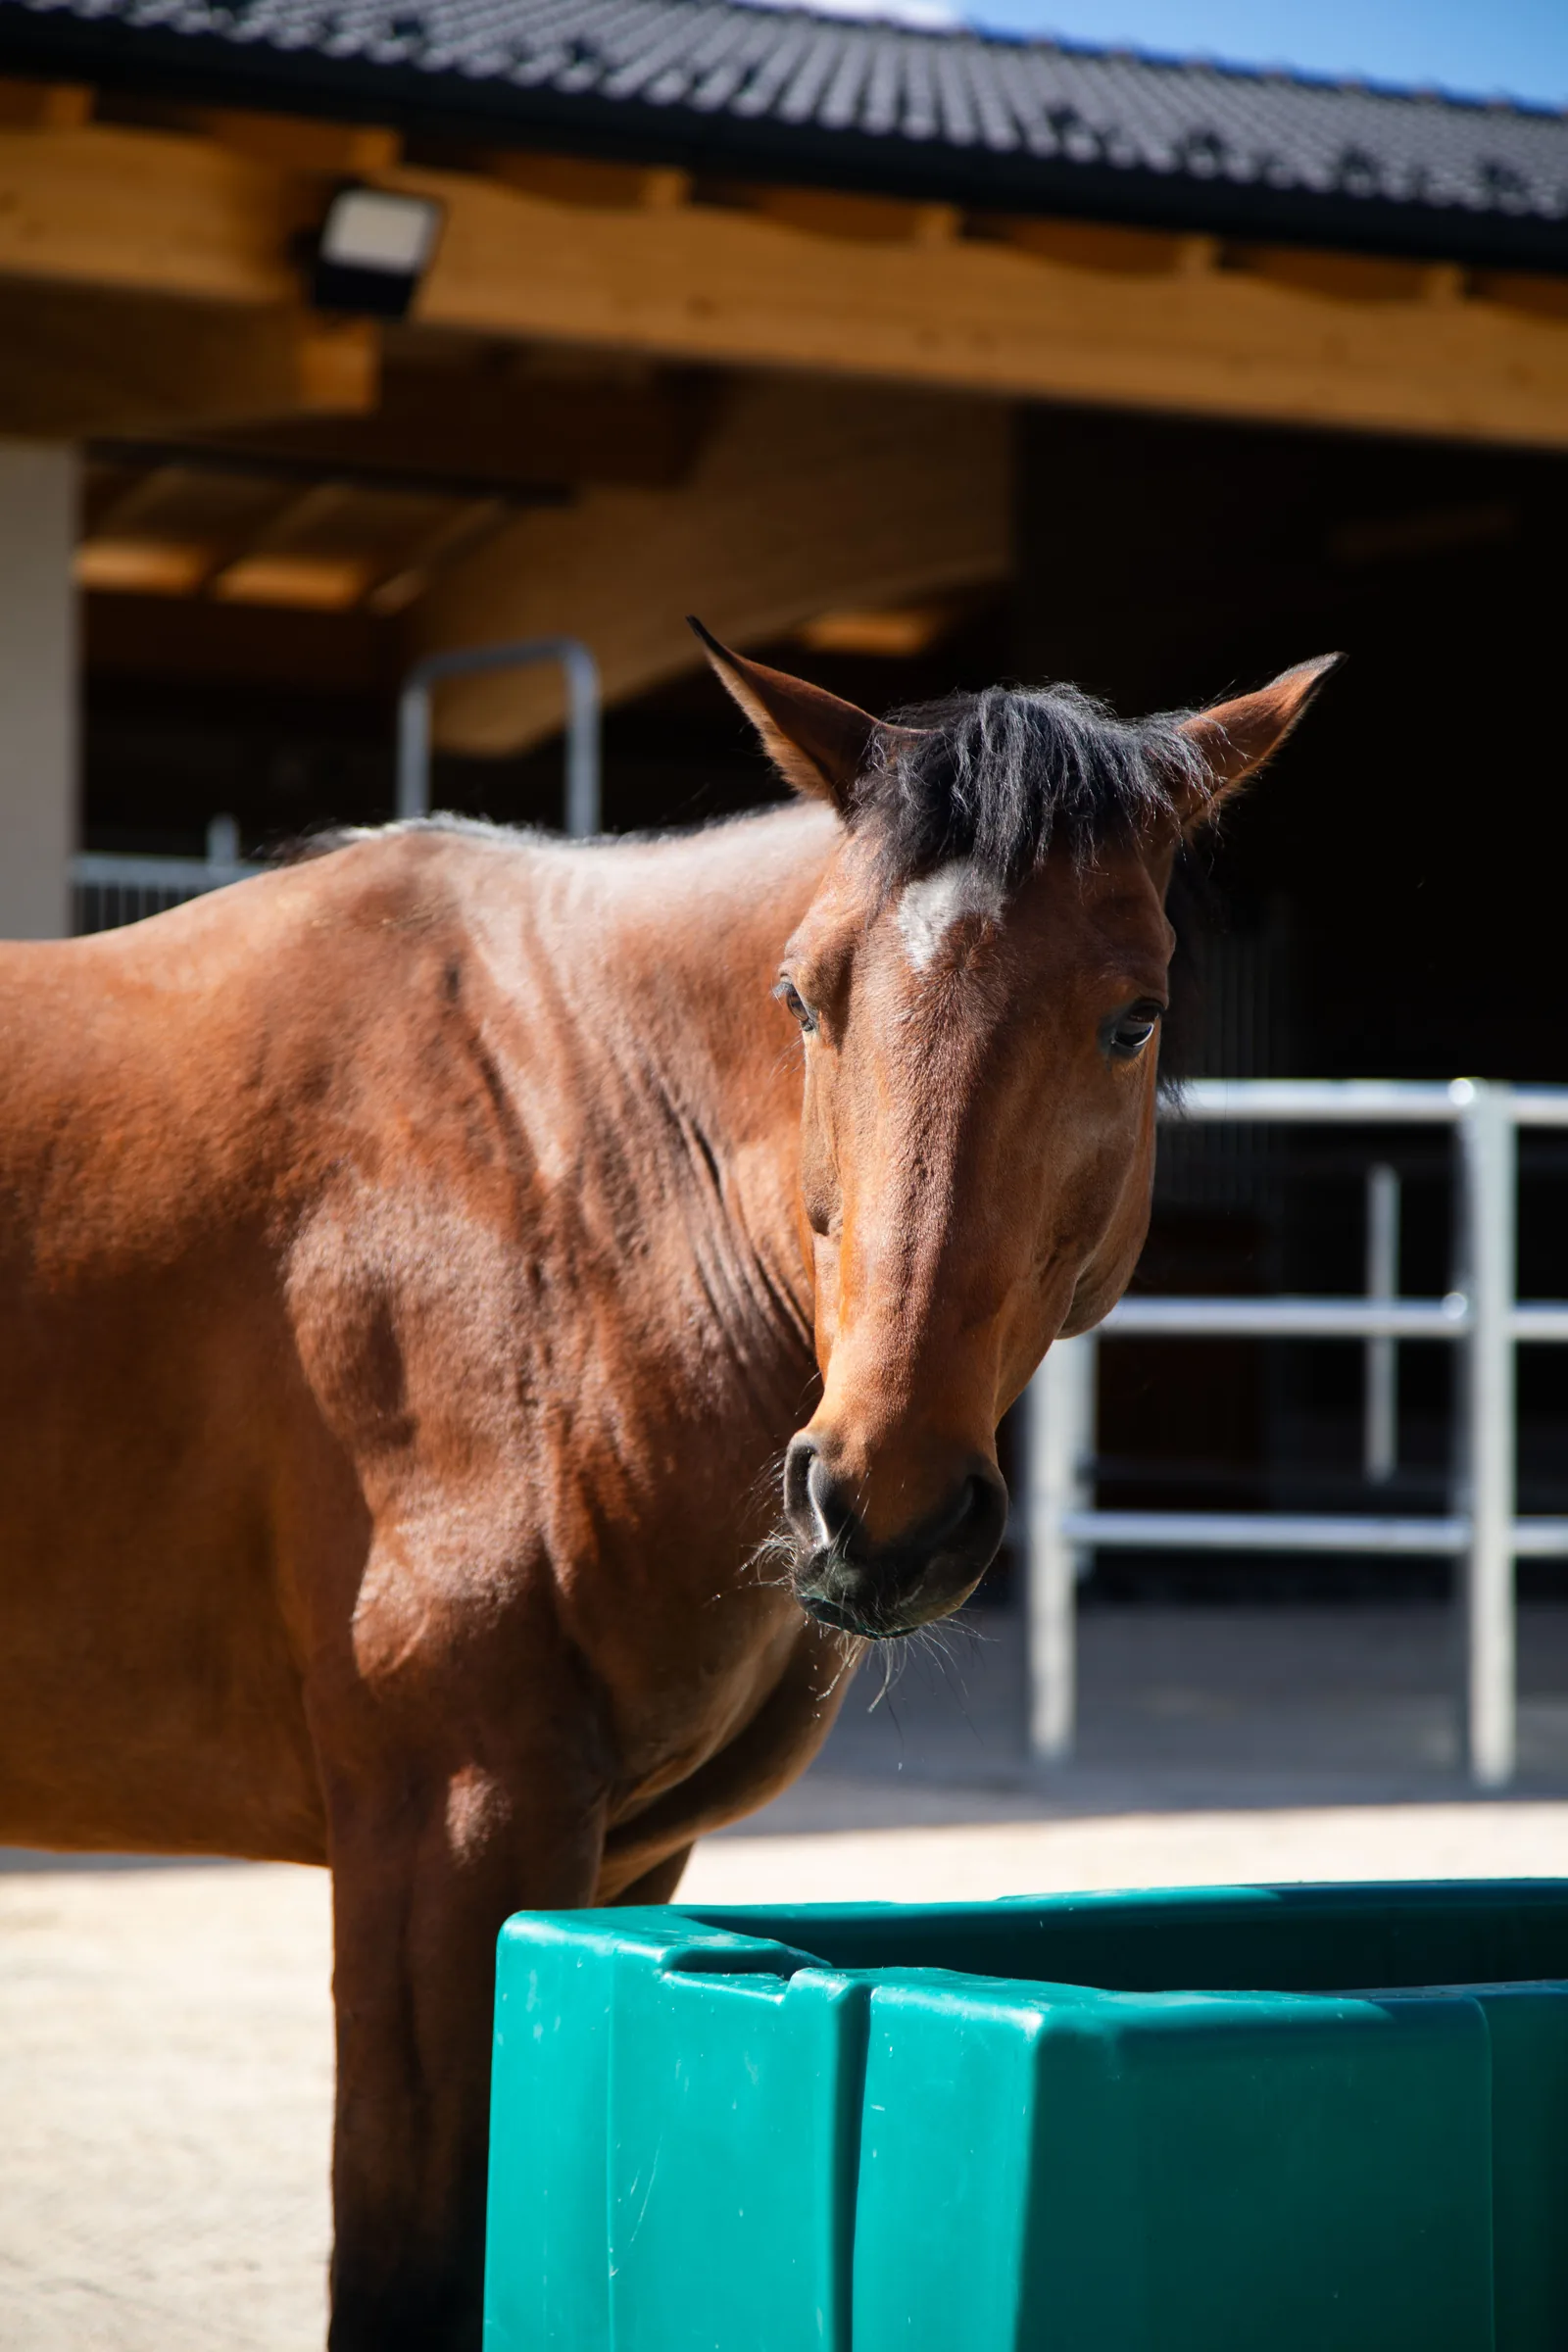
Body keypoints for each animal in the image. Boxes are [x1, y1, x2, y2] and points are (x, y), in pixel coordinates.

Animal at [0, 622, 1337, 2347]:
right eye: (805, 997)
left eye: (1135, 1017)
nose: (878, 1503)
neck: (565, 1183)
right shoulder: (447, 1838)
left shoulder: (618, 1865)